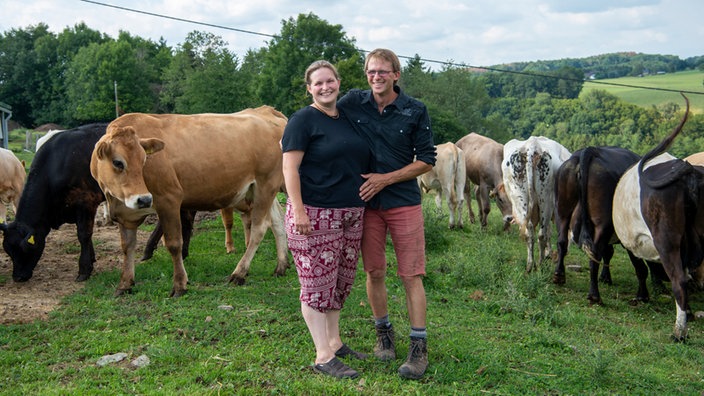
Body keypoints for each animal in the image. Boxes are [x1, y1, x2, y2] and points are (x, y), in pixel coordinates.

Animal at [90, 106, 288, 296]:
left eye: (144, 160)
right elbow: (127, 247)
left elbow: (174, 244)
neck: (117, 200)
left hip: (266, 184)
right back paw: (281, 266)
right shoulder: (125, 214)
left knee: (259, 228)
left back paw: (239, 272)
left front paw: (179, 285)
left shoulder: (169, 199)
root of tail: (265, 111)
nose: (144, 199)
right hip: (261, 189)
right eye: (117, 162)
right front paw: (125, 284)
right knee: (278, 221)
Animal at [504, 136, 568, 272]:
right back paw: (539, 263)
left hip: (521, 198)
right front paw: (549, 253)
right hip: (545, 200)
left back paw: (532, 264)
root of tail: (532, 145)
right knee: (541, 233)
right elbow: (549, 232)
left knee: (531, 232)